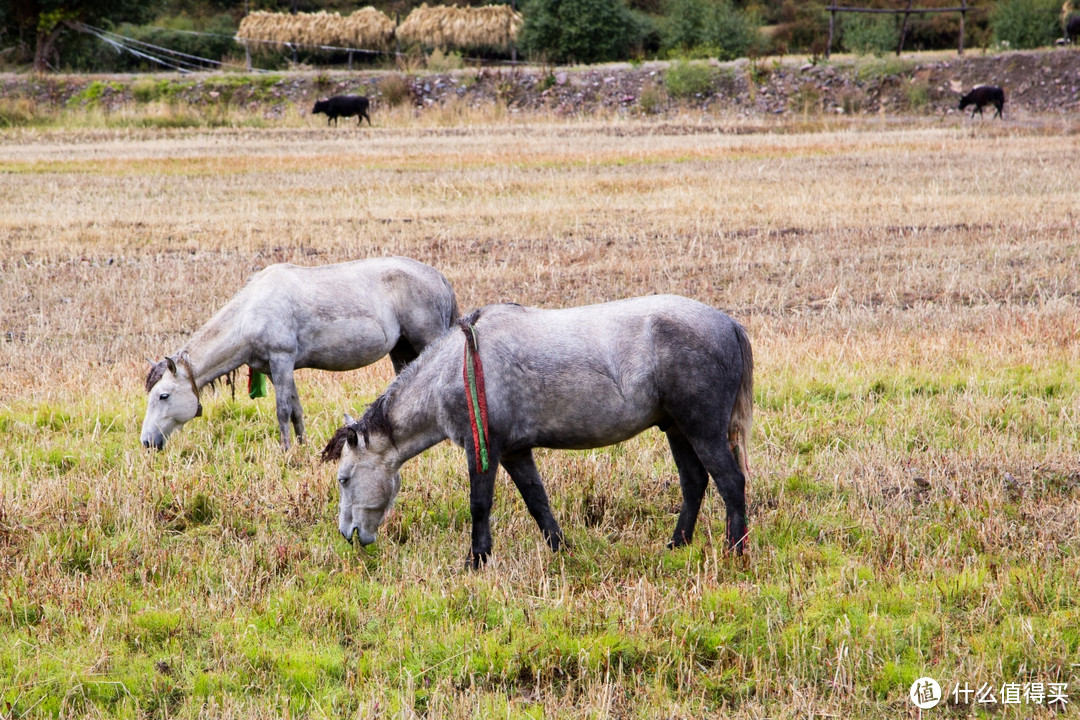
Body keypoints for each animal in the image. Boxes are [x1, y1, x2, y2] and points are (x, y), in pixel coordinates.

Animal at [142, 257, 460, 451]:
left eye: (163, 395)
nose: (146, 441)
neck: (250, 312)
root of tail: (438, 277)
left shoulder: (281, 360)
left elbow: (282, 410)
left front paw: (284, 451)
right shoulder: (275, 369)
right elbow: (295, 409)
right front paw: (302, 446)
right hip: (402, 349)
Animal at [324, 297, 756, 569]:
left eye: (344, 478)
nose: (348, 534)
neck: (456, 367)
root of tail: (729, 324)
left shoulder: (484, 450)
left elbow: (480, 505)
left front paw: (476, 560)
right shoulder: (515, 453)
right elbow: (537, 502)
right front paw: (560, 549)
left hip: (702, 432)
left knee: (730, 482)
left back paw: (736, 552)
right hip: (678, 431)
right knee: (695, 483)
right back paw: (676, 545)